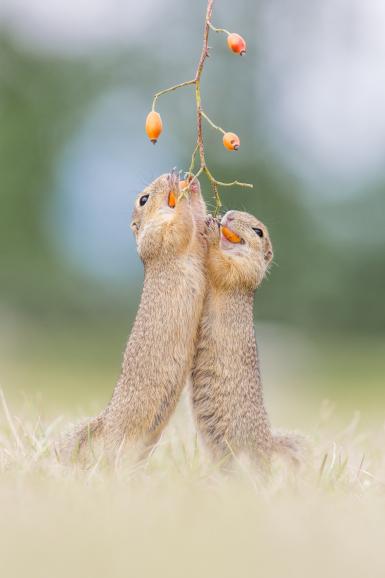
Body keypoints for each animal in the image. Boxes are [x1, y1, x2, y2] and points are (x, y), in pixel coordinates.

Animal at [60, 171, 207, 464]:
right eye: (143, 199)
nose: (169, 174)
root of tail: (103, 423)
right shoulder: (158, 238)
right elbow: (179, 228)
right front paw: (179, 192)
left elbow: (198, 220)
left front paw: (192, 186)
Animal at [191, 209, 304, 466]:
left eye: (258, 231)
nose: (229, 214)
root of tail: (269, 446)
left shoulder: (242, 272)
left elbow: (221, 267)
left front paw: (211, 233)